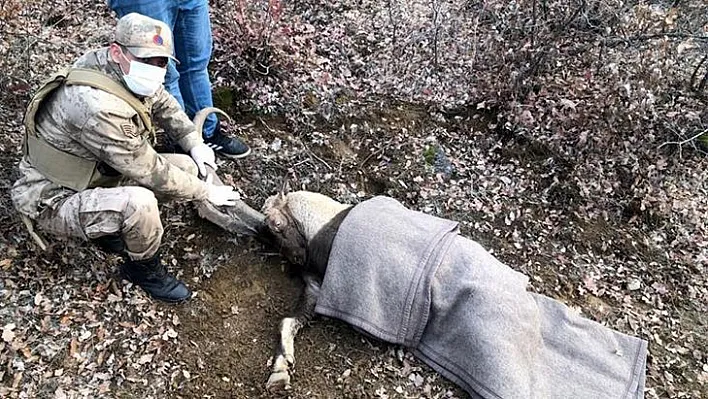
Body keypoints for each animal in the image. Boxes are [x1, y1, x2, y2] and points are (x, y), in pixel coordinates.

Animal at [258, 192, 648, 398]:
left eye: (276, 228)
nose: (292, 262)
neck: (325, 226)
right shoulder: (315, 288)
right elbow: (287, 322)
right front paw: (281, 371)